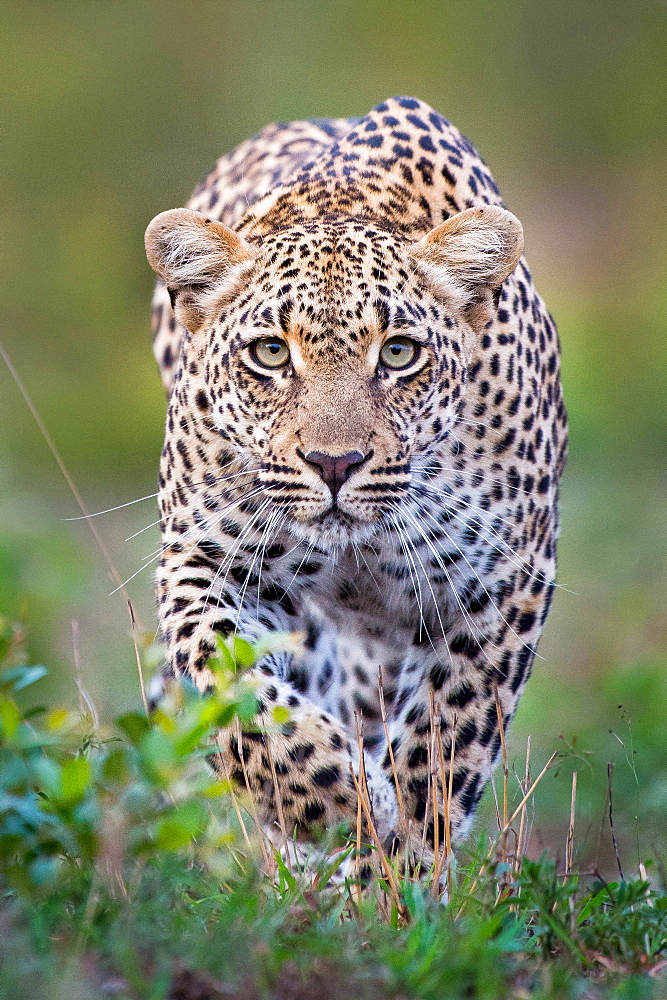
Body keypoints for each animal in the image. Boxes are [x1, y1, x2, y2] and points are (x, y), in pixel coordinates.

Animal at [144, 95, 568, 868]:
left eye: (398, 354)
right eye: (269, 353)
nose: (334, 463)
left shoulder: (500, 585)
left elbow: (445, 743)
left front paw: (406, 871)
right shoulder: (210, 558)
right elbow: (228, 681)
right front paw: (337, 805)